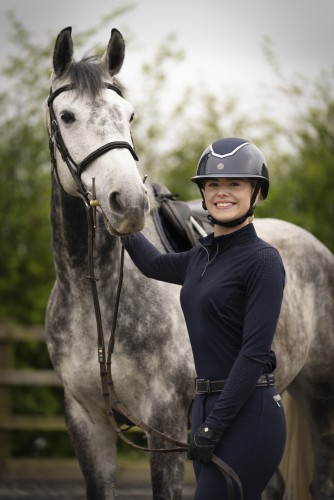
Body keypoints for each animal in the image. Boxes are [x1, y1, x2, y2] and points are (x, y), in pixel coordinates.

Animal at [45, 27, 334, 500]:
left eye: (129, 115)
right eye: (67, 116)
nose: (129, 202)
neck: (95, 299)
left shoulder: (162, 422)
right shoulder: (88, 424)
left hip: (321, 395)